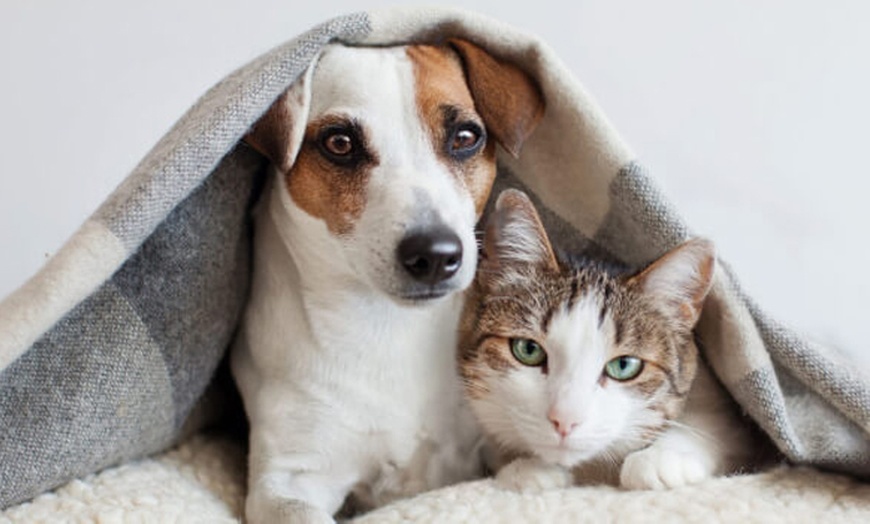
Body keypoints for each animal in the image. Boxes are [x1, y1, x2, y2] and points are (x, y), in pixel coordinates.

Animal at [460, 189, 760, 492]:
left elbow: (712, 424)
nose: (565, 420)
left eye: (624, 365)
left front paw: (661, 458)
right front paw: (527, 467)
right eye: (528, 350)